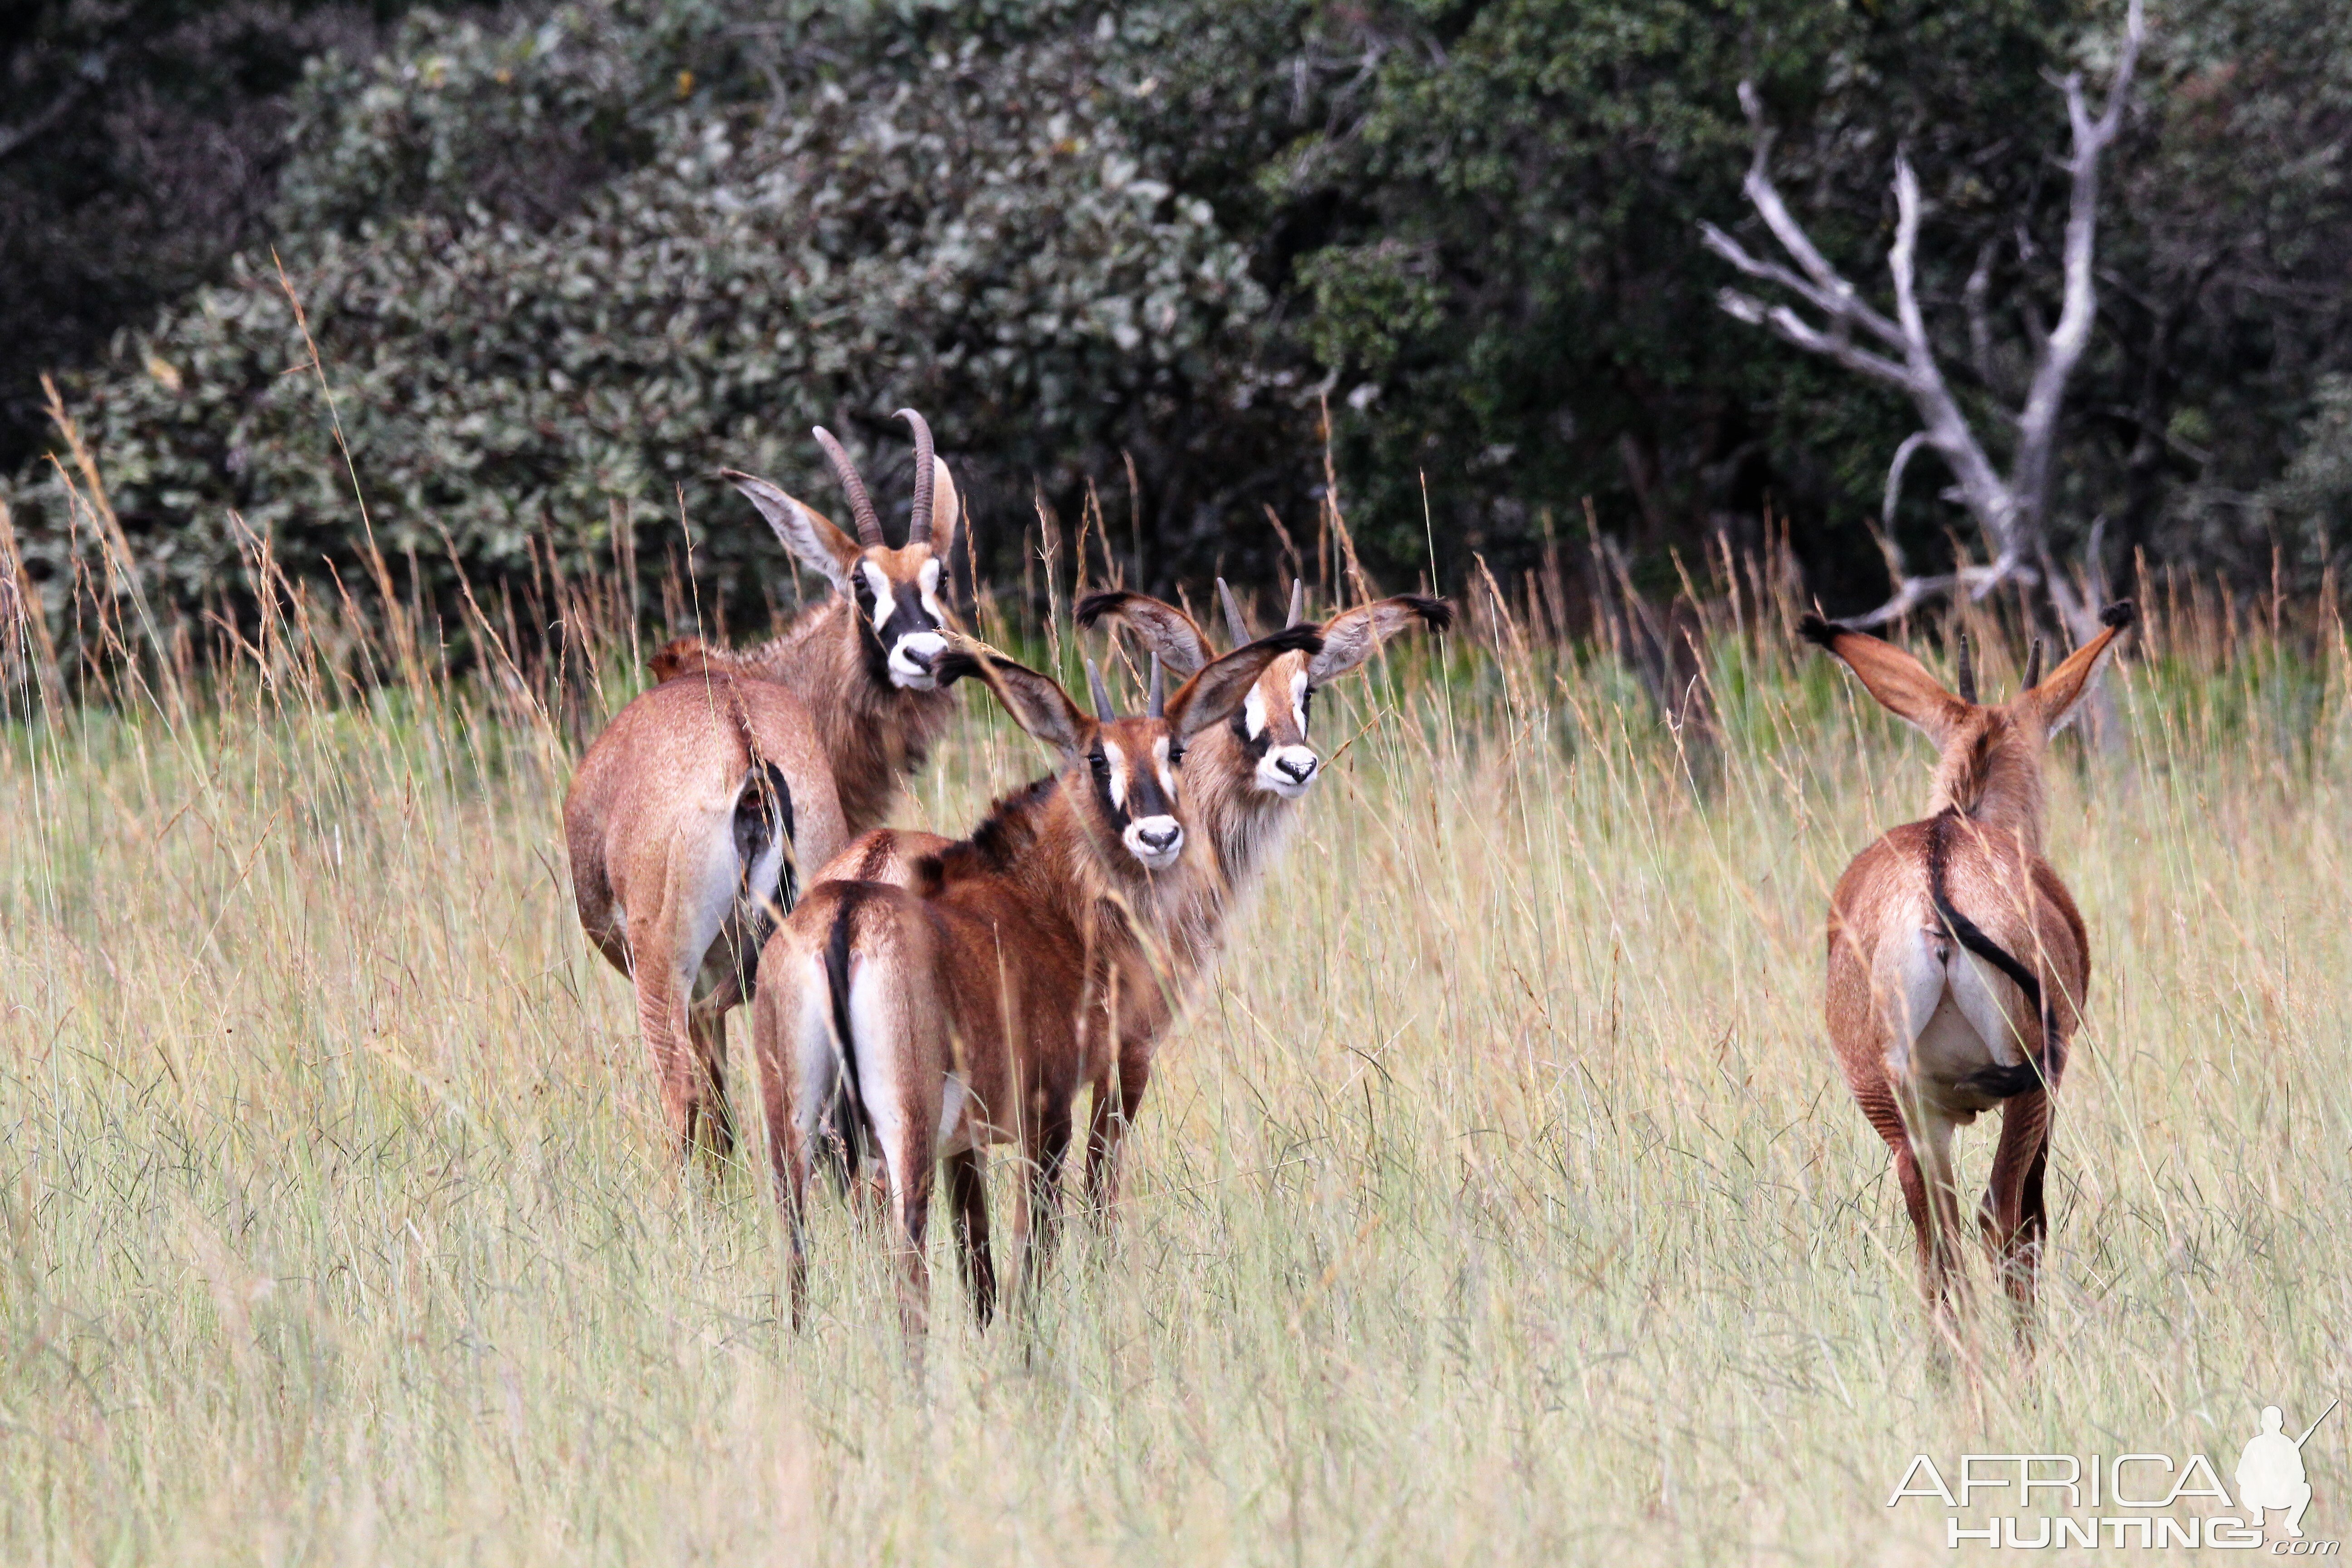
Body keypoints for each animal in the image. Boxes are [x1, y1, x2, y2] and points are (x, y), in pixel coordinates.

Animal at [564, 411, 969, 1161]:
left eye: (942, 575)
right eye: (861, 584)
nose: (925, 655)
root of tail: (745, 748)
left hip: (667, 970)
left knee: (683, 1099)